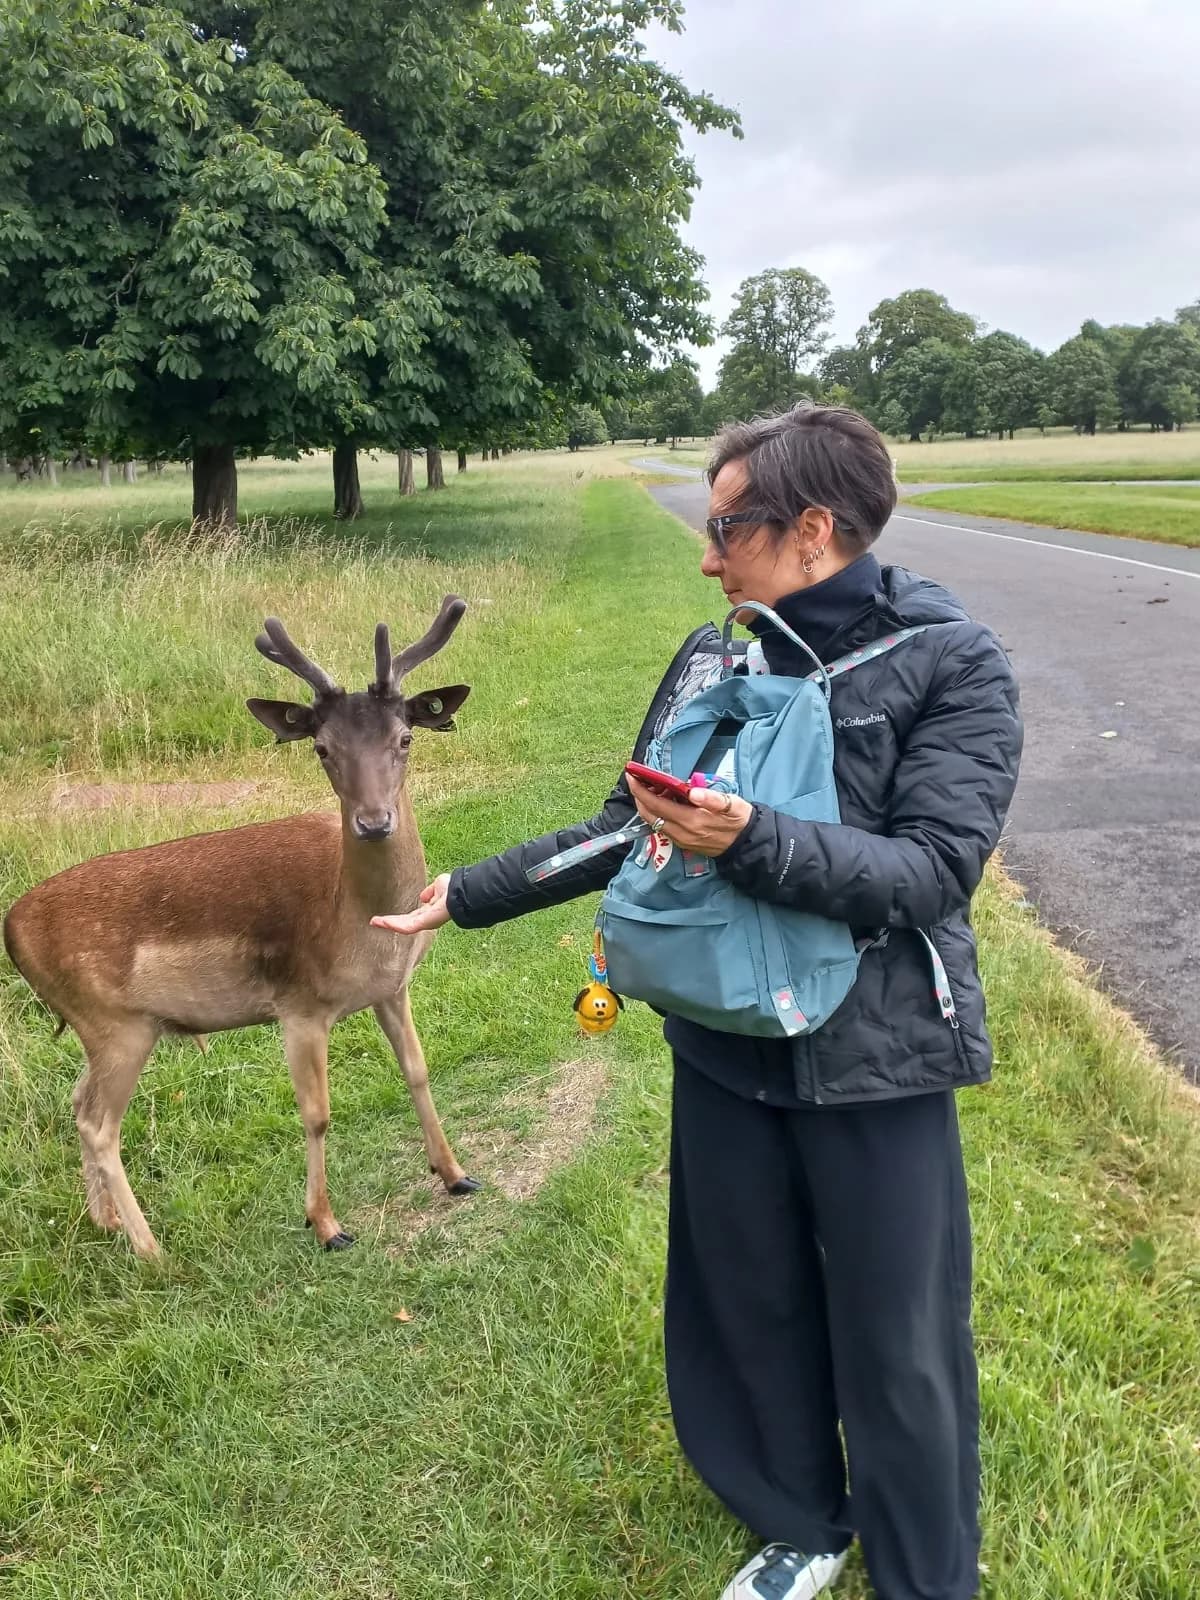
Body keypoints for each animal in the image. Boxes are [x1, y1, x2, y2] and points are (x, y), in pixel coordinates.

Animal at [3, 597, 480, 1261]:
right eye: (321, 748)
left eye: (405, 737)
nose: (373, 821)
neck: (362, 921)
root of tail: (11, 928)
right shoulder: (299, 1004)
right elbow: (316, 1112)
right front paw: (326, 1224)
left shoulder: (392, 988)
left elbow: (417, 1068)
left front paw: (455, 1173)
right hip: (115, 1024)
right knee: (99, 1123)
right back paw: (152, 1251)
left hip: (97, 1029)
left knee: (76, 1100)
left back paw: (106, 1222)